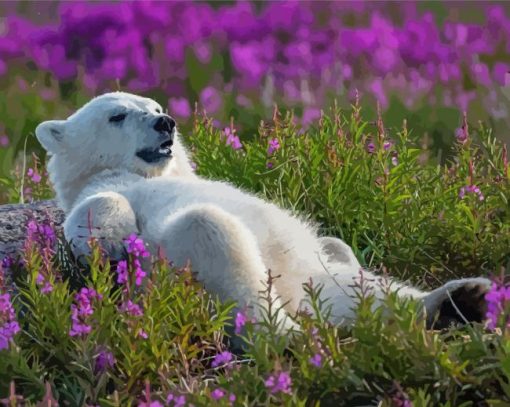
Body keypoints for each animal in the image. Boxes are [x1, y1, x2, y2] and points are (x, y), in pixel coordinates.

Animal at [35, 91, 490, 332]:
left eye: (155, 105)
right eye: (117, 115)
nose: (165, 123)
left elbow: (340, 251)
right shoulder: (108, 186)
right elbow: (96, 207)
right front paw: (107, 237)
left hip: (309, 273)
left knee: (363, 290)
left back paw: (460, 298)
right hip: (191, 266)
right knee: (216, 239)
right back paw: (288, 334)